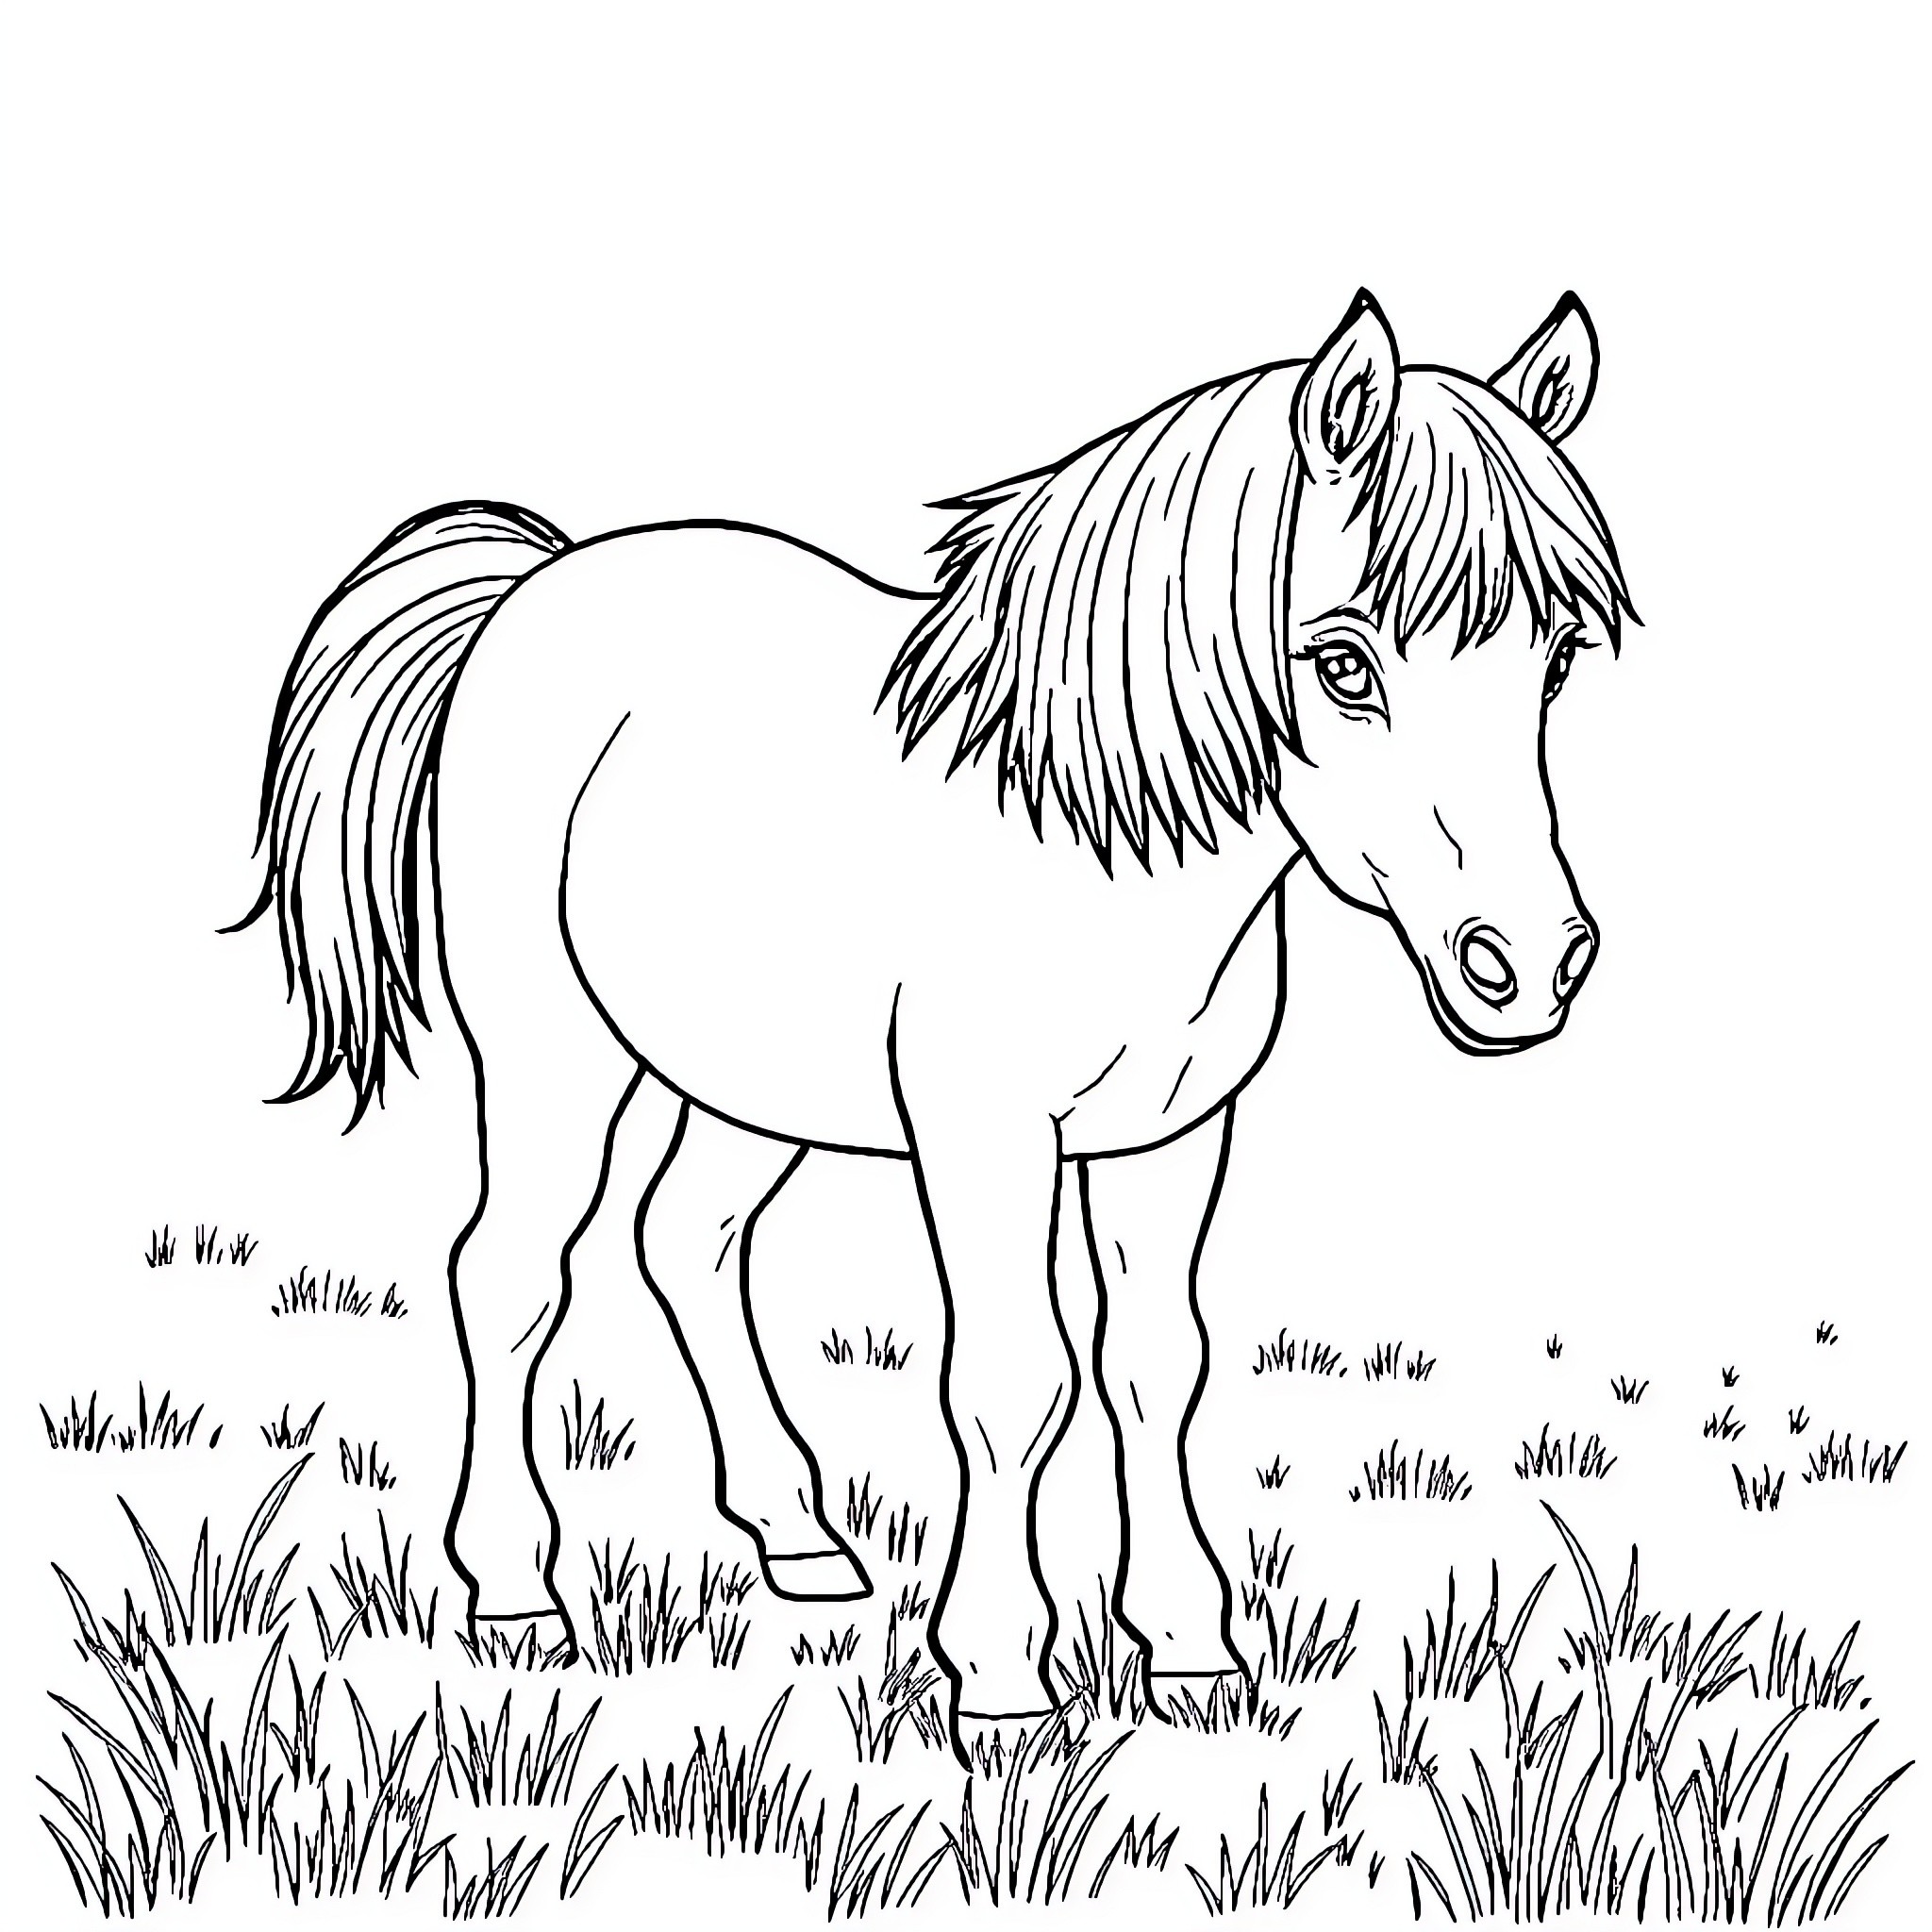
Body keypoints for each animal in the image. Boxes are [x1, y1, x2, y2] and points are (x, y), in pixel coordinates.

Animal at [238, 289, 1634, 1747]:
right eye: (1343, 661)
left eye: (1556, 660)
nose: (1530, 964)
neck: (1101, 844)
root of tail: (541, 579)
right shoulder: (984, 1139)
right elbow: (1014, 1382)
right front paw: (1005, 1684)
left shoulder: (1170, 1139)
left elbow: (1157, 1367)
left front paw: (1188, 1653)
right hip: (547, 1055)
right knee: (508, 1274)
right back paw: (516, 1598)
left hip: (749, 1072)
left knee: (688, 1242)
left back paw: (797, 1538)